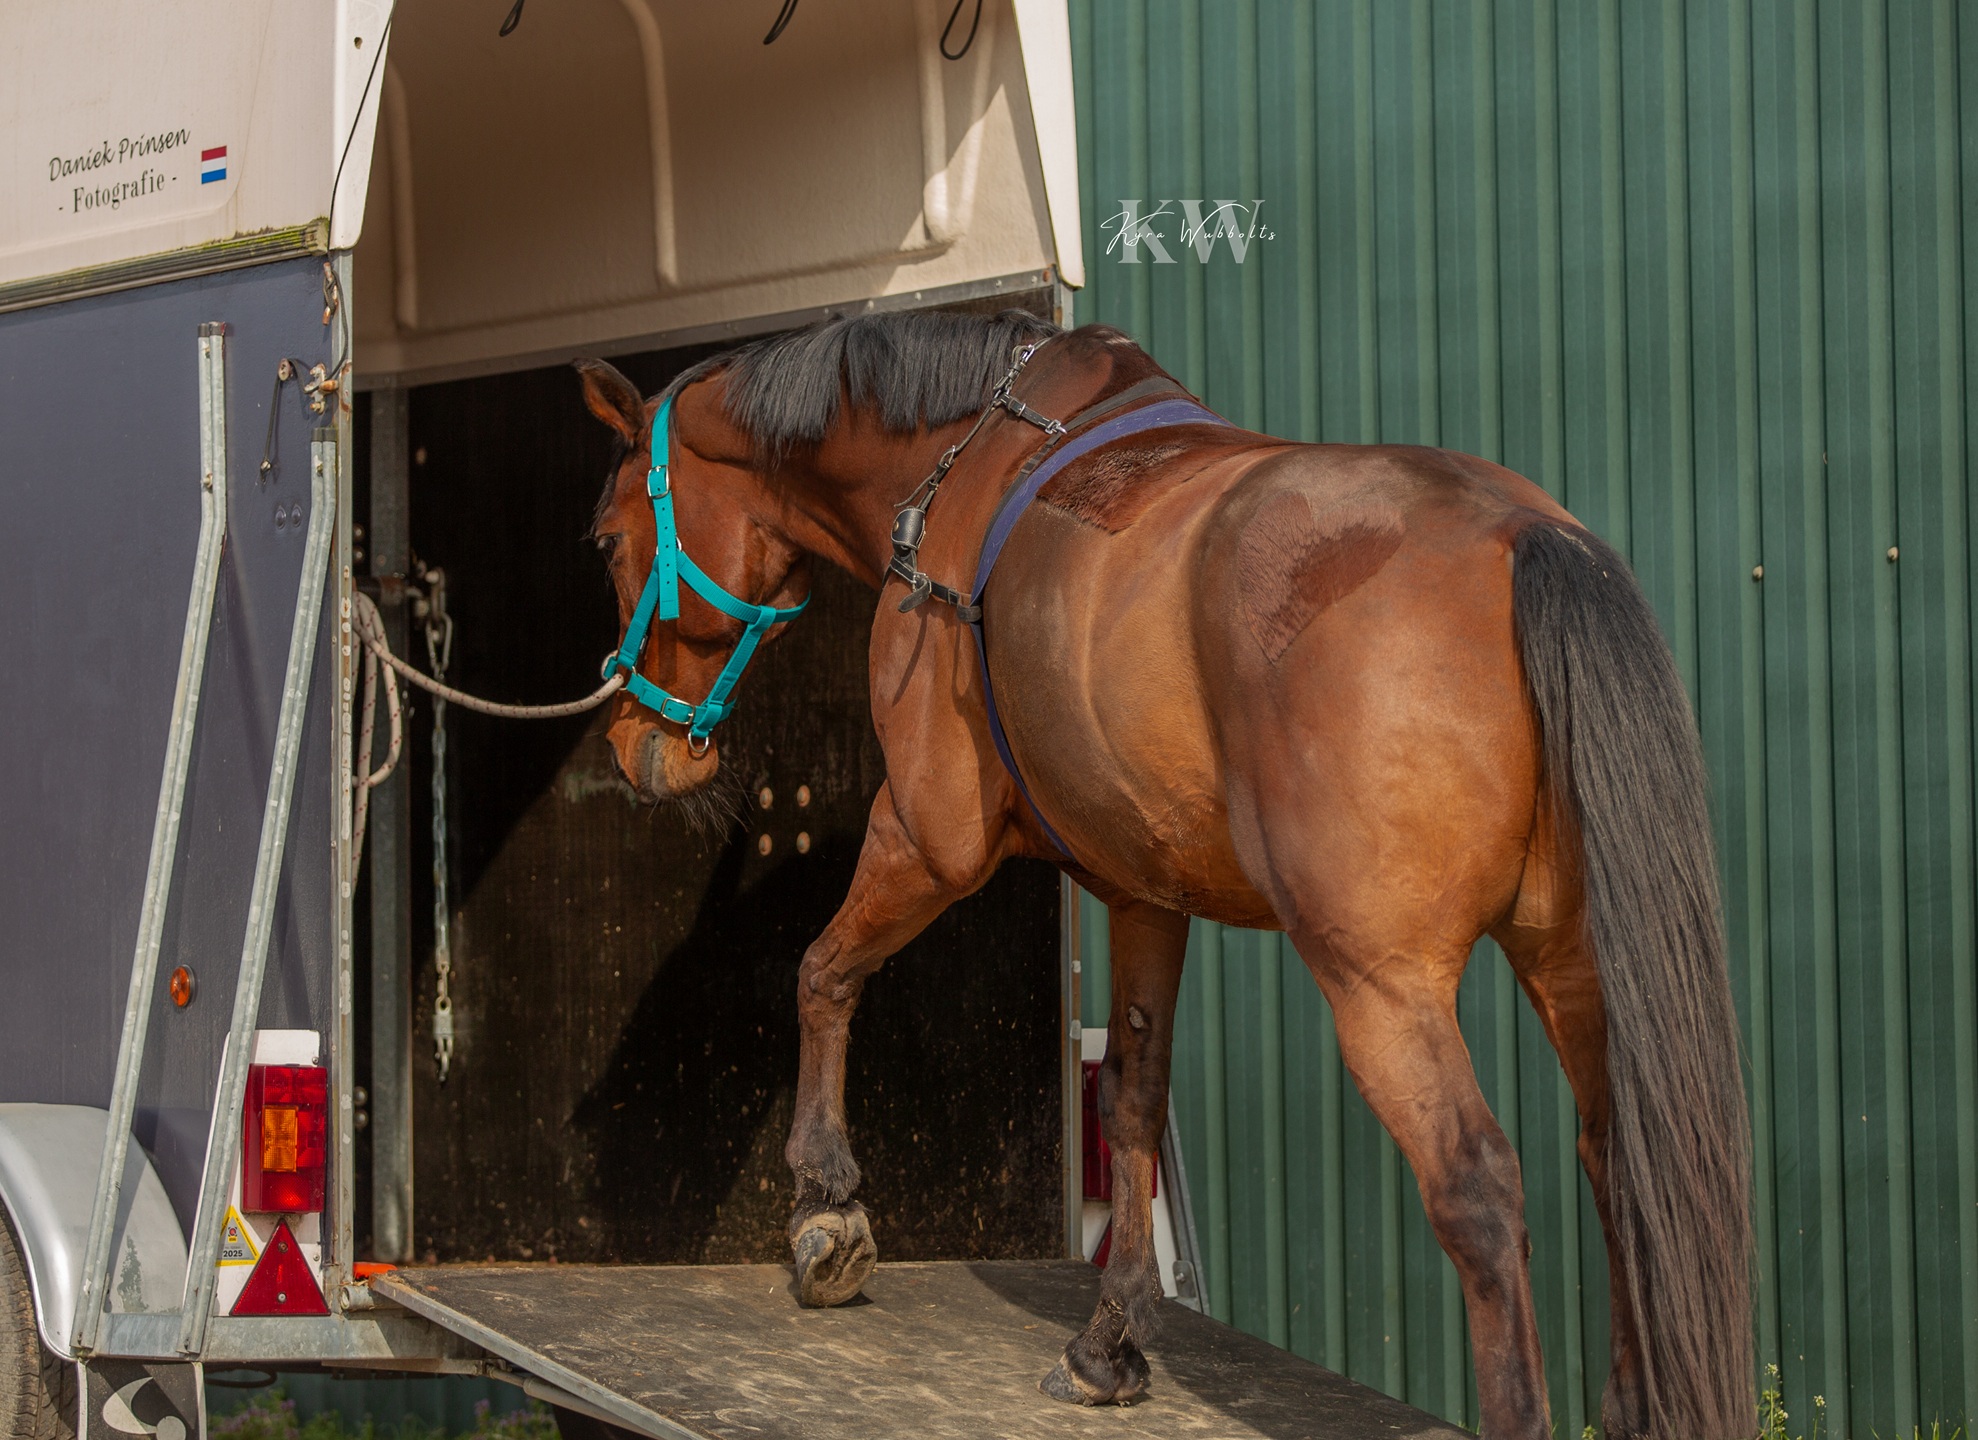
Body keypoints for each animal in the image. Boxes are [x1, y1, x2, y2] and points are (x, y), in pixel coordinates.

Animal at [574, 309, 1754, 1440]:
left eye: (606, 539)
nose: (638, 747)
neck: (961, 463)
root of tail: (1521, 536)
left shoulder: (925, 834)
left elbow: (822, 972)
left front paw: (825, 1203)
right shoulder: (1144, 894)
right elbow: (1134, 1098)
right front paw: (1112, 1338)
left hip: (1383, 985)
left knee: (1477, 1190)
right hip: (1570, 965)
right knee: (1621, 1162)